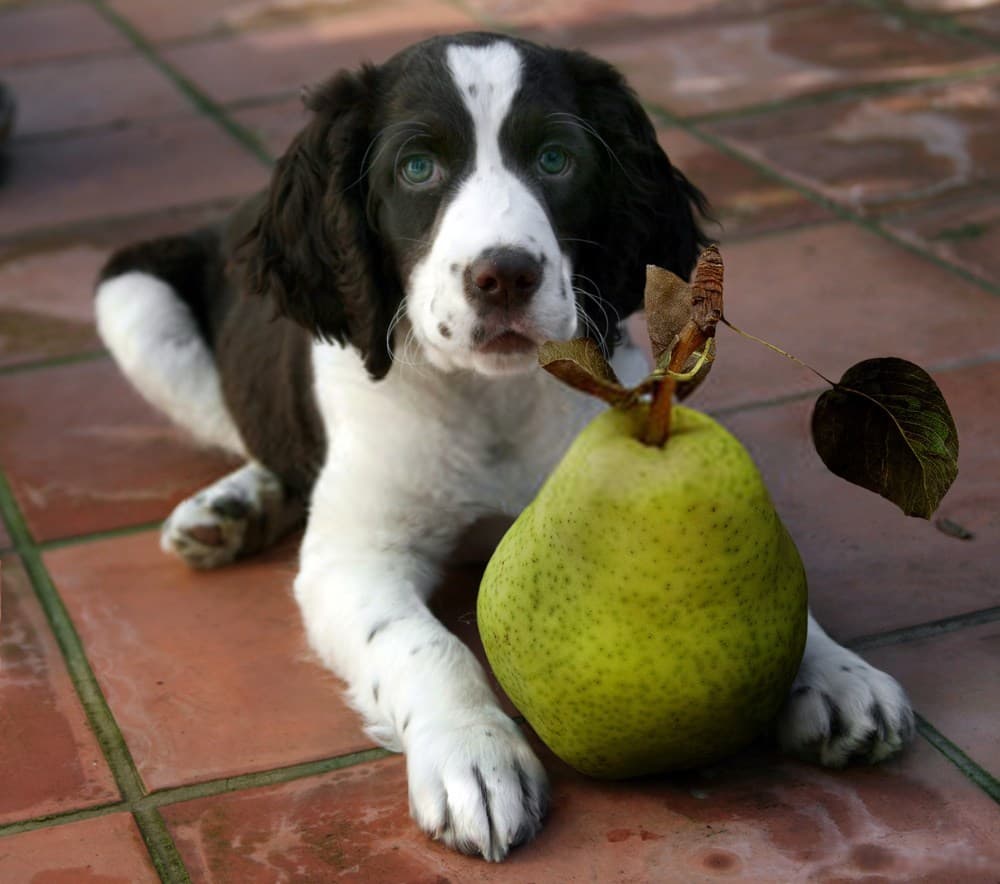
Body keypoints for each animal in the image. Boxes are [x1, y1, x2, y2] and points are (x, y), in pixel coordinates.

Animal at [95, 32, 916, 864]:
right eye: (416, 168)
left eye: (556, 159)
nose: (505, 277)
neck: (488, 397)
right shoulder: (353, 561)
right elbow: (424, 647)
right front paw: (473, 757)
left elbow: (775, 578)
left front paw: (834, 671)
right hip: (131, 298)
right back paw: (233, 504)